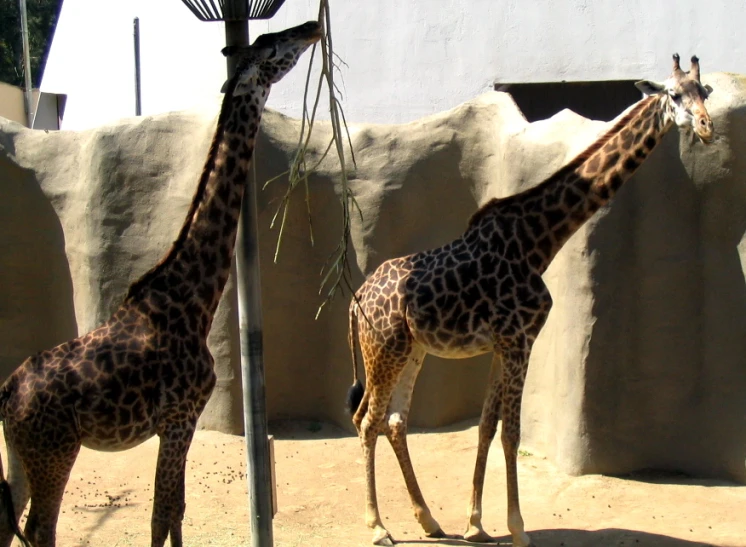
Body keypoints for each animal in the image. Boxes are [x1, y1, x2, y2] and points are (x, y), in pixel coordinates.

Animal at [0, 19, 320, 544]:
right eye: (272, 47)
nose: (311, 26)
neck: (193, 296)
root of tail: (7, 393)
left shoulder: (181, 422)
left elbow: (175, 510)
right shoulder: (178, 416)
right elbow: (160, 513)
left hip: (19, 452)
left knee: (8, 522)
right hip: (54, 450)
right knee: (41, 527)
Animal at [346, 52, 712, 547]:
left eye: (704, 91)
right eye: (674, 95)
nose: (708, 127)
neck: (539, 242)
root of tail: (357, 299)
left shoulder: (503, 344)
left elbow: (486, 427)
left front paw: (475, 523)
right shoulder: (520, 341)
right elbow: (512, 434)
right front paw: (518, 528)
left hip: (412, 350)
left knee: (394, 421)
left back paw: (429, 520)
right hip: (383, 349)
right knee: (368, 421)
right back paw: (377, 526)